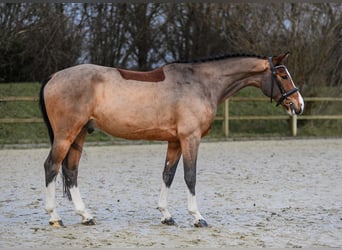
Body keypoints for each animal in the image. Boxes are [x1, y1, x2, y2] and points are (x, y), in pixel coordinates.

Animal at [38, 51, 304, 228]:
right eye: (283, 75)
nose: (299, 105)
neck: (201, 83)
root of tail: (53, 76)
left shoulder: (175, 141)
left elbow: (168, 175)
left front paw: (166, 215)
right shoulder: (190, 138)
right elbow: (190, 176)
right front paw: (197, 217)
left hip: (80, 134)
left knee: (71, 171)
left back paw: (86, 216)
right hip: (66, 134)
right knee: (52, 166)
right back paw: (54, 217)